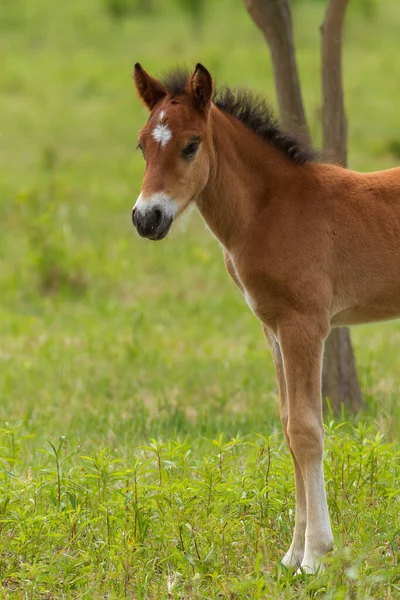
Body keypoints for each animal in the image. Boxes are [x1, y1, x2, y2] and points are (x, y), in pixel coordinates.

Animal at [131, 63, 400, 576]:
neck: (271, 209)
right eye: (141, 145)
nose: (145, 218)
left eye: (191, 144)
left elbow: (306, 431)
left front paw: (316, 556)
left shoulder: (306, 324)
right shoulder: (273, 327)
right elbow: (287, 425)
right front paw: (291, 555)